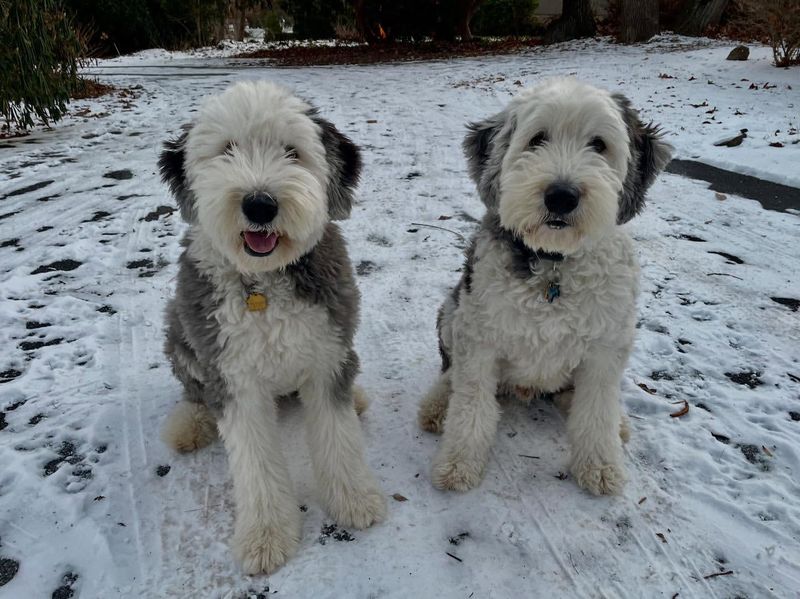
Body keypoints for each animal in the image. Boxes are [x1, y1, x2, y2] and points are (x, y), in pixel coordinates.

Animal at [158, 81, 386, 576]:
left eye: (292, 152)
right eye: (227, 149)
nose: (259, 204)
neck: (262, 284)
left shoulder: (327, 357)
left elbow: (339, 437)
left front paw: (355, 500)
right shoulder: (234, 379)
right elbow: (255, 466)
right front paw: (265, 538)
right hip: (178, 328)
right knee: (194, 390)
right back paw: (190, 424)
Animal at [422, 78, 672, 496]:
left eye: (599, 144)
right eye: (537, 138)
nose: (561, 196)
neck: (554, 262)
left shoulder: (607, 345)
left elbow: (596, 413)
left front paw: (600, 467)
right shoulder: (479, 337)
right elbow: (471, 404)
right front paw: (458, 463)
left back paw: (615, 422)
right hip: (451, 310)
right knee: (452, 374)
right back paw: (438, 404)